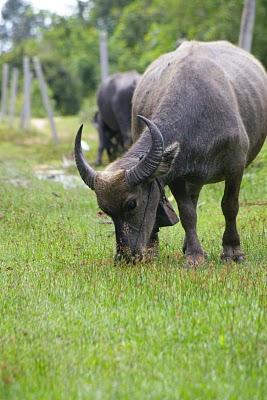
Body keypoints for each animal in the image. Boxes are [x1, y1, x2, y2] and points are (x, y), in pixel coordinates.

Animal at [75, 41, 267, 266]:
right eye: (105, 210)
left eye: (132, 204)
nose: (125, 257)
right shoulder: (177, 176)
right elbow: (187, 212)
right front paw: (195, 255)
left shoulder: (236, 166)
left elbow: (229, 205)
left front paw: (232, 251)